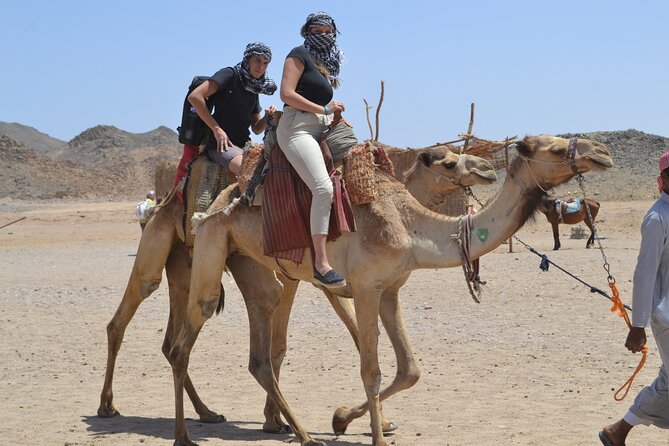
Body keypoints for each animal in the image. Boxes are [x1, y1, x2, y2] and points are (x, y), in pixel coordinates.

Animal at [97, 144, 496, 429]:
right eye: (448, 162)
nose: (488, 169)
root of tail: (169, 197)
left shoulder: (322, 284)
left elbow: (329, 340)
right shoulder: (314, 281)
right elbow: (295, 346)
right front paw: (279, 421)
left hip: (184, 267)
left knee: (171, 341)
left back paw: (207, 412)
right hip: (158, 247)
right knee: (124, 315)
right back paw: (107, 406)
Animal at [168, 135, 612, 446]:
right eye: (555, 147)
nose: (603, 152)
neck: (411, 228)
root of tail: (217, 202)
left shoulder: (390, 289)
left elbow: (409, 369)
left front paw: (341, 418)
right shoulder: (365, 287)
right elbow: (371, 369)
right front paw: (376, 435)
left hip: (254, 262)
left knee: (260, 351)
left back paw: (300, 433)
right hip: (212, 244)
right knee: (186, 338)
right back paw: (187, 433)